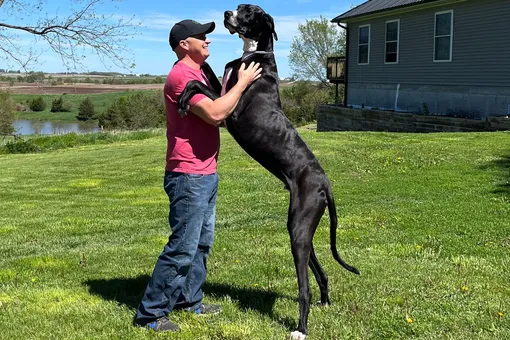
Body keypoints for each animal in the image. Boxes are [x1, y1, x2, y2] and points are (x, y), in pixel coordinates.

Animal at [177, 3, 360, 338]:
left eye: (248, 12)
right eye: (239, 7)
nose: (226, 12)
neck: (254, 54)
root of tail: (325, 183)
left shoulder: (231, 111)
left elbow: (197, 84)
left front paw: (184, 99)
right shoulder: (223, 90)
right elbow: (205, 75)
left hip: (299, 229)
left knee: (304, 288)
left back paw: (301, 328)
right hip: (300, 228)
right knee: (320, 271)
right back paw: (325, 302)